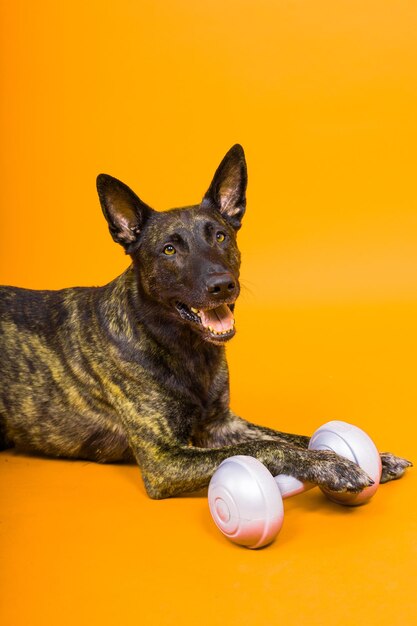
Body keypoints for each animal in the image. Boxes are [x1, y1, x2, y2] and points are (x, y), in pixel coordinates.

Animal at [0, 145, 410, 498]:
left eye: (220, 236)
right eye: (169, 249)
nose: (222, 285)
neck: (184, 347)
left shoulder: (222, 424)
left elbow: (283, 436)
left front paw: (375, 458)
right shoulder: (164, 460)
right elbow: (264, 448)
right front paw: (332, 466)